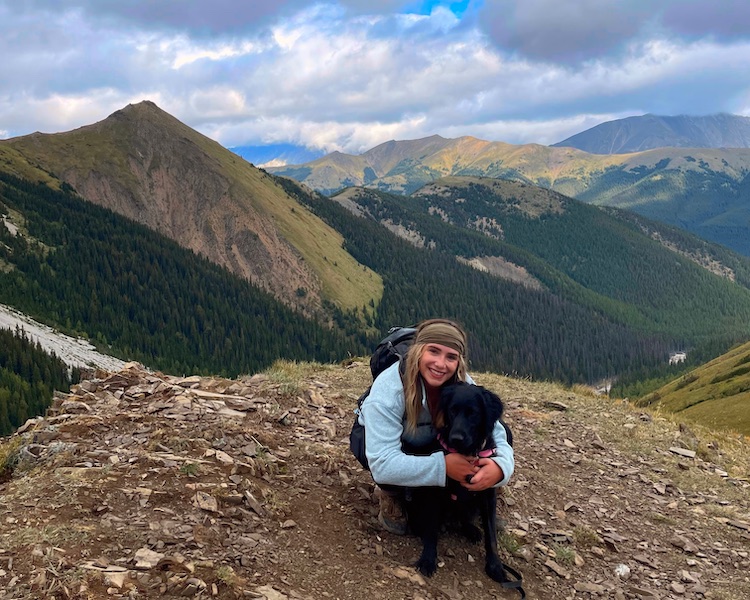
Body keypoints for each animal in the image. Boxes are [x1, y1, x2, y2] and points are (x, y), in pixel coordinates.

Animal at [406, 384, 524, 596]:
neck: (467, 453)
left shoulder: (488, 494)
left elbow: (491, 536)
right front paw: (428, 559)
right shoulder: (434, 492)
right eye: (452, 411)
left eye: (473, 413)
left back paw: (471, 530)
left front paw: (495, 567)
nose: (456, 438)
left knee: (465, 519)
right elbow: (431, 530)